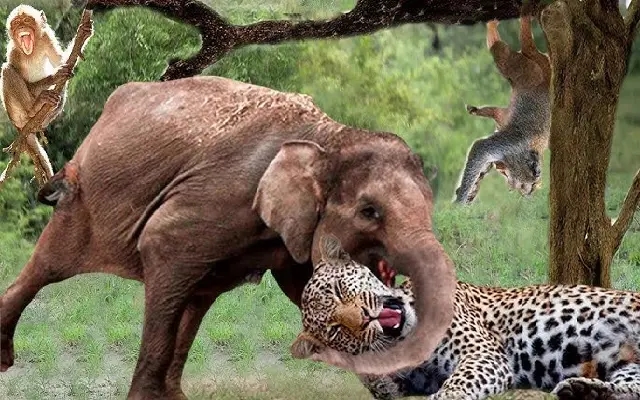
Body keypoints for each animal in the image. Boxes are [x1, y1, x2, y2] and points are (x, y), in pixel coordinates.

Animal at [0, 5, 77, 180]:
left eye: (27, 20)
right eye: (16, 23)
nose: (22, 27)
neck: (32, 49)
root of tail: (20, 127)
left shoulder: (46, 37)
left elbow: (61, 60)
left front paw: (85, 31)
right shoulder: (13, 51)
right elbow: (23, 79)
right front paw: (54, 76)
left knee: (60, 93)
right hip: (15, 112)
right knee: (7, 70)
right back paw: (34, 107)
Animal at [0, 76, 456, 400]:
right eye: (369, 213)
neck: (331, 137)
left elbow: (301, 283)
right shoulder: (220, 195)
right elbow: (162, 241)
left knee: (195, 297)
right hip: (82, 201)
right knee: (51, 265)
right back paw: (5, 360)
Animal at [453, 17, 551, 204]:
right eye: (529, 183)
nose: (528, 192)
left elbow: (484, 161)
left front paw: (470, 192)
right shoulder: (511, 144)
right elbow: (481, 148)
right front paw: (461, 200)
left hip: (531, 71)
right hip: (530, 72)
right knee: (502, 54)